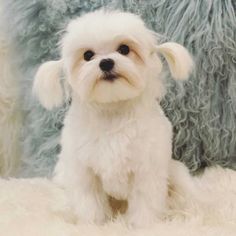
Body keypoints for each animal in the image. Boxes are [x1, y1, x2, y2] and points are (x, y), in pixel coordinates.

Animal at [32, 10, 194, 228]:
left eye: (124, 49)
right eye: (88, 55)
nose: (106, 62)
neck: (112, 109)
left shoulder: (147, 169)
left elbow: (145, 200)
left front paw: (143, 225)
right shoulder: (84, 172)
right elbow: (89, 202)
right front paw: (92, 225)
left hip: (175, 172)